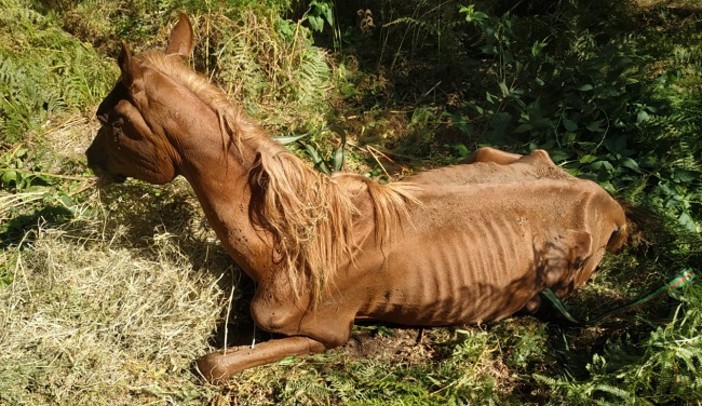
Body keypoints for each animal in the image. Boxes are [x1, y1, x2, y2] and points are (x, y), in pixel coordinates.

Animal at [85, 15, 628, 384]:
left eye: (113, 121)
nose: (91, 159)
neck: (291, 239)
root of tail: (608, 204)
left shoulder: (324, 333)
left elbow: (211, 364)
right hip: (492, 154)